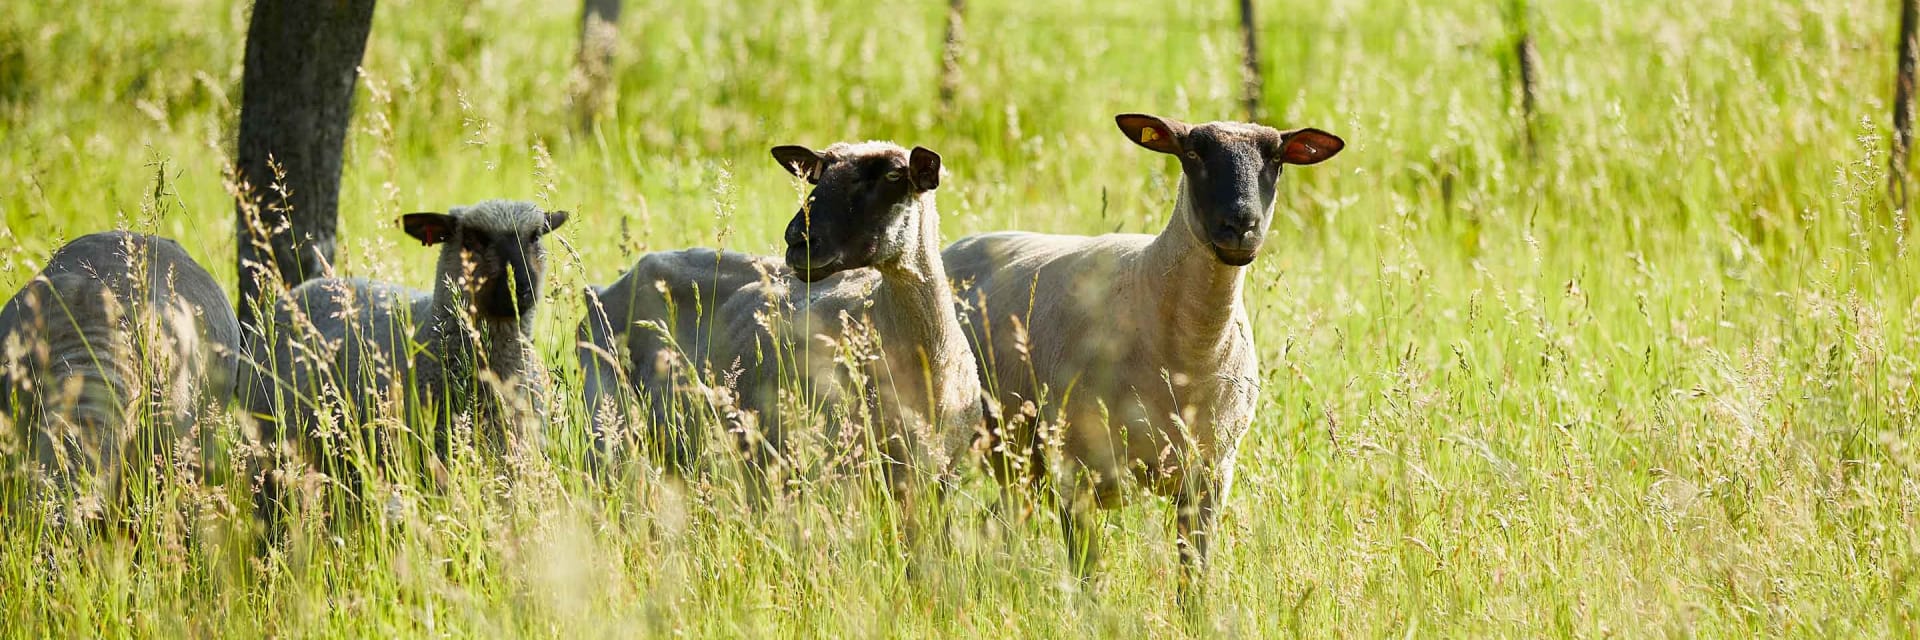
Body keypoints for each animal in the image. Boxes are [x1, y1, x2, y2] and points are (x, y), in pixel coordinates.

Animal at [576, 141, 975, 522]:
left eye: (893, 176)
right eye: (819, 176)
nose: (798, 240)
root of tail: (603, 289)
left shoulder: (936, 477)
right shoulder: (839, 470)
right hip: (607, 427)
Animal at [936, 113, 1344, 599]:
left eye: (1277, 160)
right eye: (1192, 154)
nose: (1240, 226)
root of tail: (960, 244)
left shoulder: (1209, 477)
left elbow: (1193, 579)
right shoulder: (1076, 472)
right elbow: (1088, 577)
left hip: (1017, 461)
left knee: (997, 523)